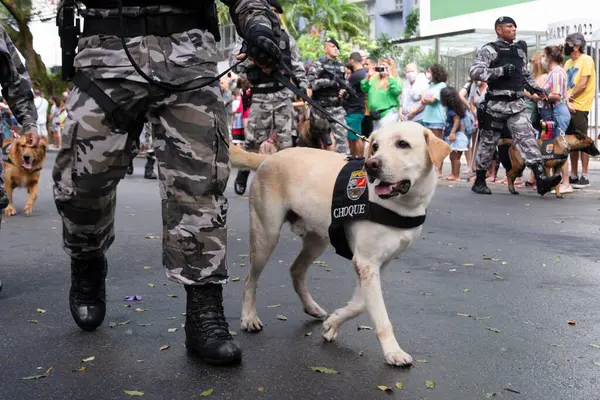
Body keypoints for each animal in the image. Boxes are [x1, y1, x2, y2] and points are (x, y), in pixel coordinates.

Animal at [230, 121, 450, 366]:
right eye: (375, 146)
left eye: (403, 144)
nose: (371, 164)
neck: (402, 205)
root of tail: (268, 158)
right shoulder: (366, 262)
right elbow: (379, 315)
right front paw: (393, 351)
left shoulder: (379, 264)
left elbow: (359, 304)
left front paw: (332, 324)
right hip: (265, 235)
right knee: (250, 279)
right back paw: (249, 317)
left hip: (317, 240)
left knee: (296, 270)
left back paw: (312, 307)